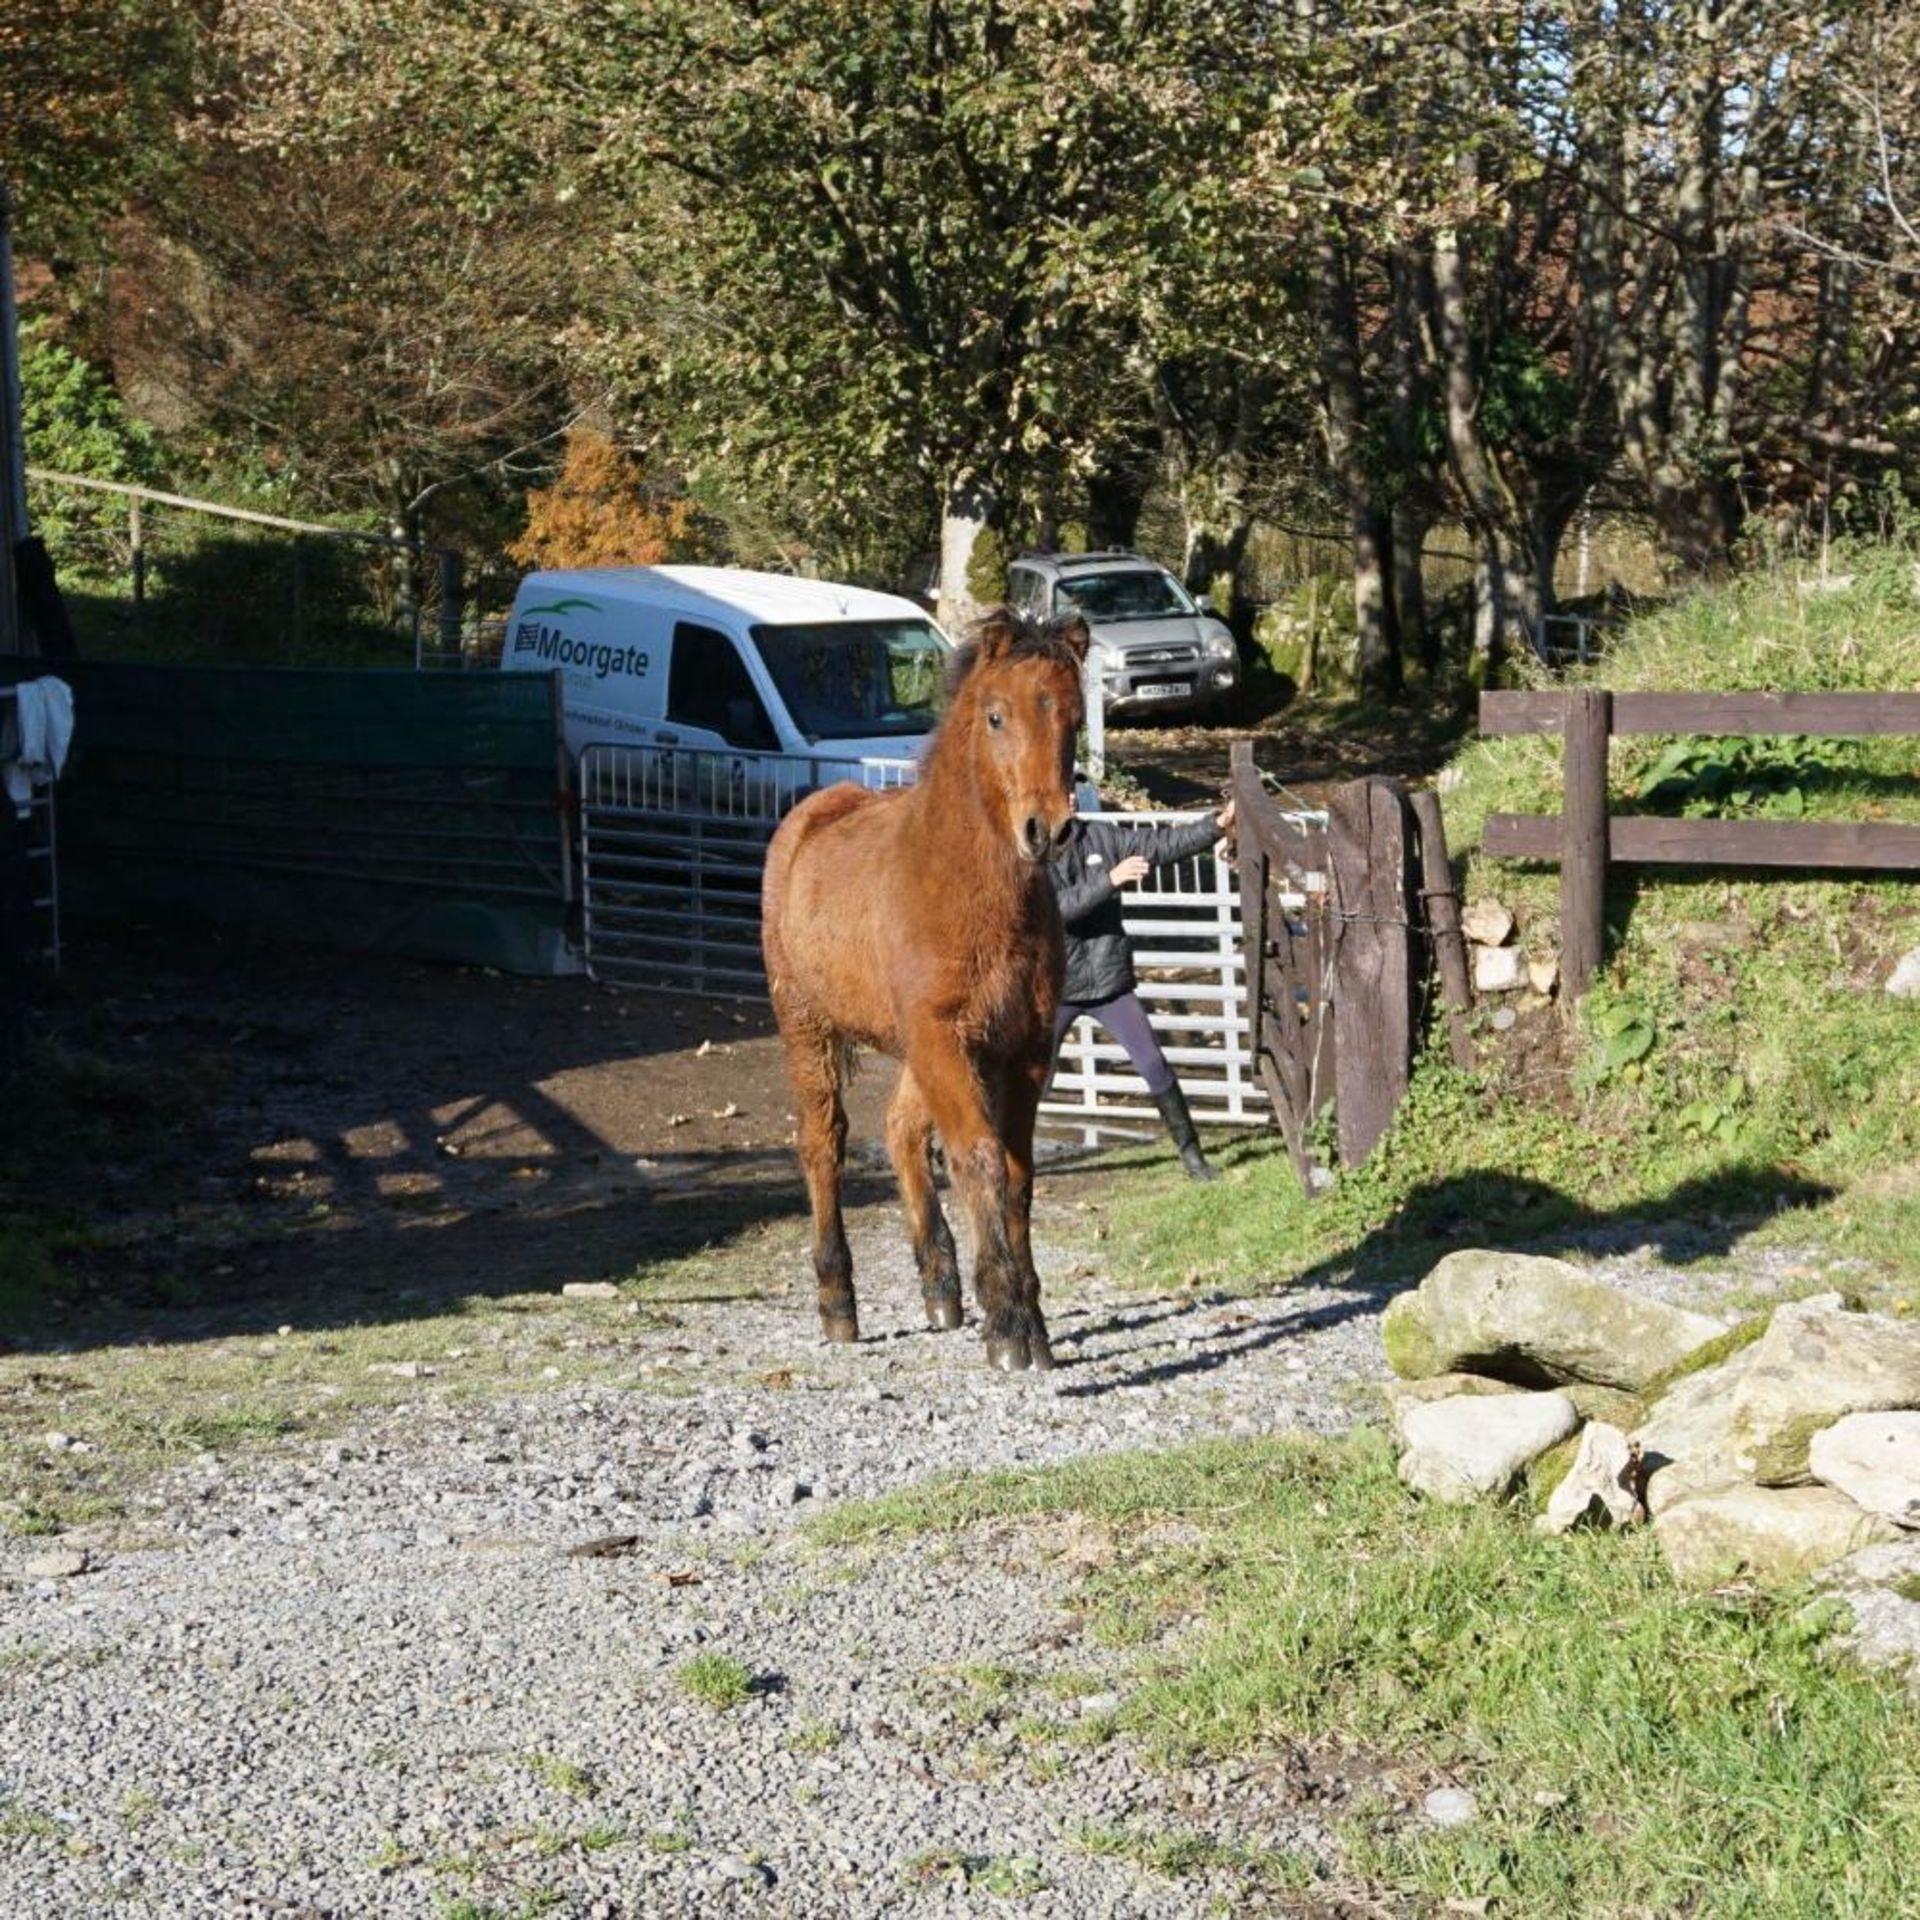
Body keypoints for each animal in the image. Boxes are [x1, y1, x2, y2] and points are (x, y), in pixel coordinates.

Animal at [764, 606, 1098, 1374]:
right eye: (997, 716)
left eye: (1075, 717)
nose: (1049, 828)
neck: (962, 886)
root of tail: (809, 815)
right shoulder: (944, 1037)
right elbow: (979, 1160)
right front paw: (1008, 1326)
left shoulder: (1020, 1047)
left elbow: (1017, 1169)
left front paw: (1029, 1316)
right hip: (807, 1026)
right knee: (823, 1142)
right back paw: (838, 1303)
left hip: (919, 1048)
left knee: (899, 1130)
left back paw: (941, 1287)